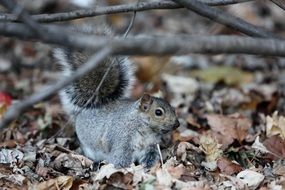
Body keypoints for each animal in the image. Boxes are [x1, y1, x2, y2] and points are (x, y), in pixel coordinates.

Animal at [53, 35, 179, 169]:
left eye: (173, 109)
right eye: (158, 112)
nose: (177, 124)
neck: (145, 129)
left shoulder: (150, 146)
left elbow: (150, 157)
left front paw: (147, 167)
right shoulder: (122, 142)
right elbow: (120, 158)